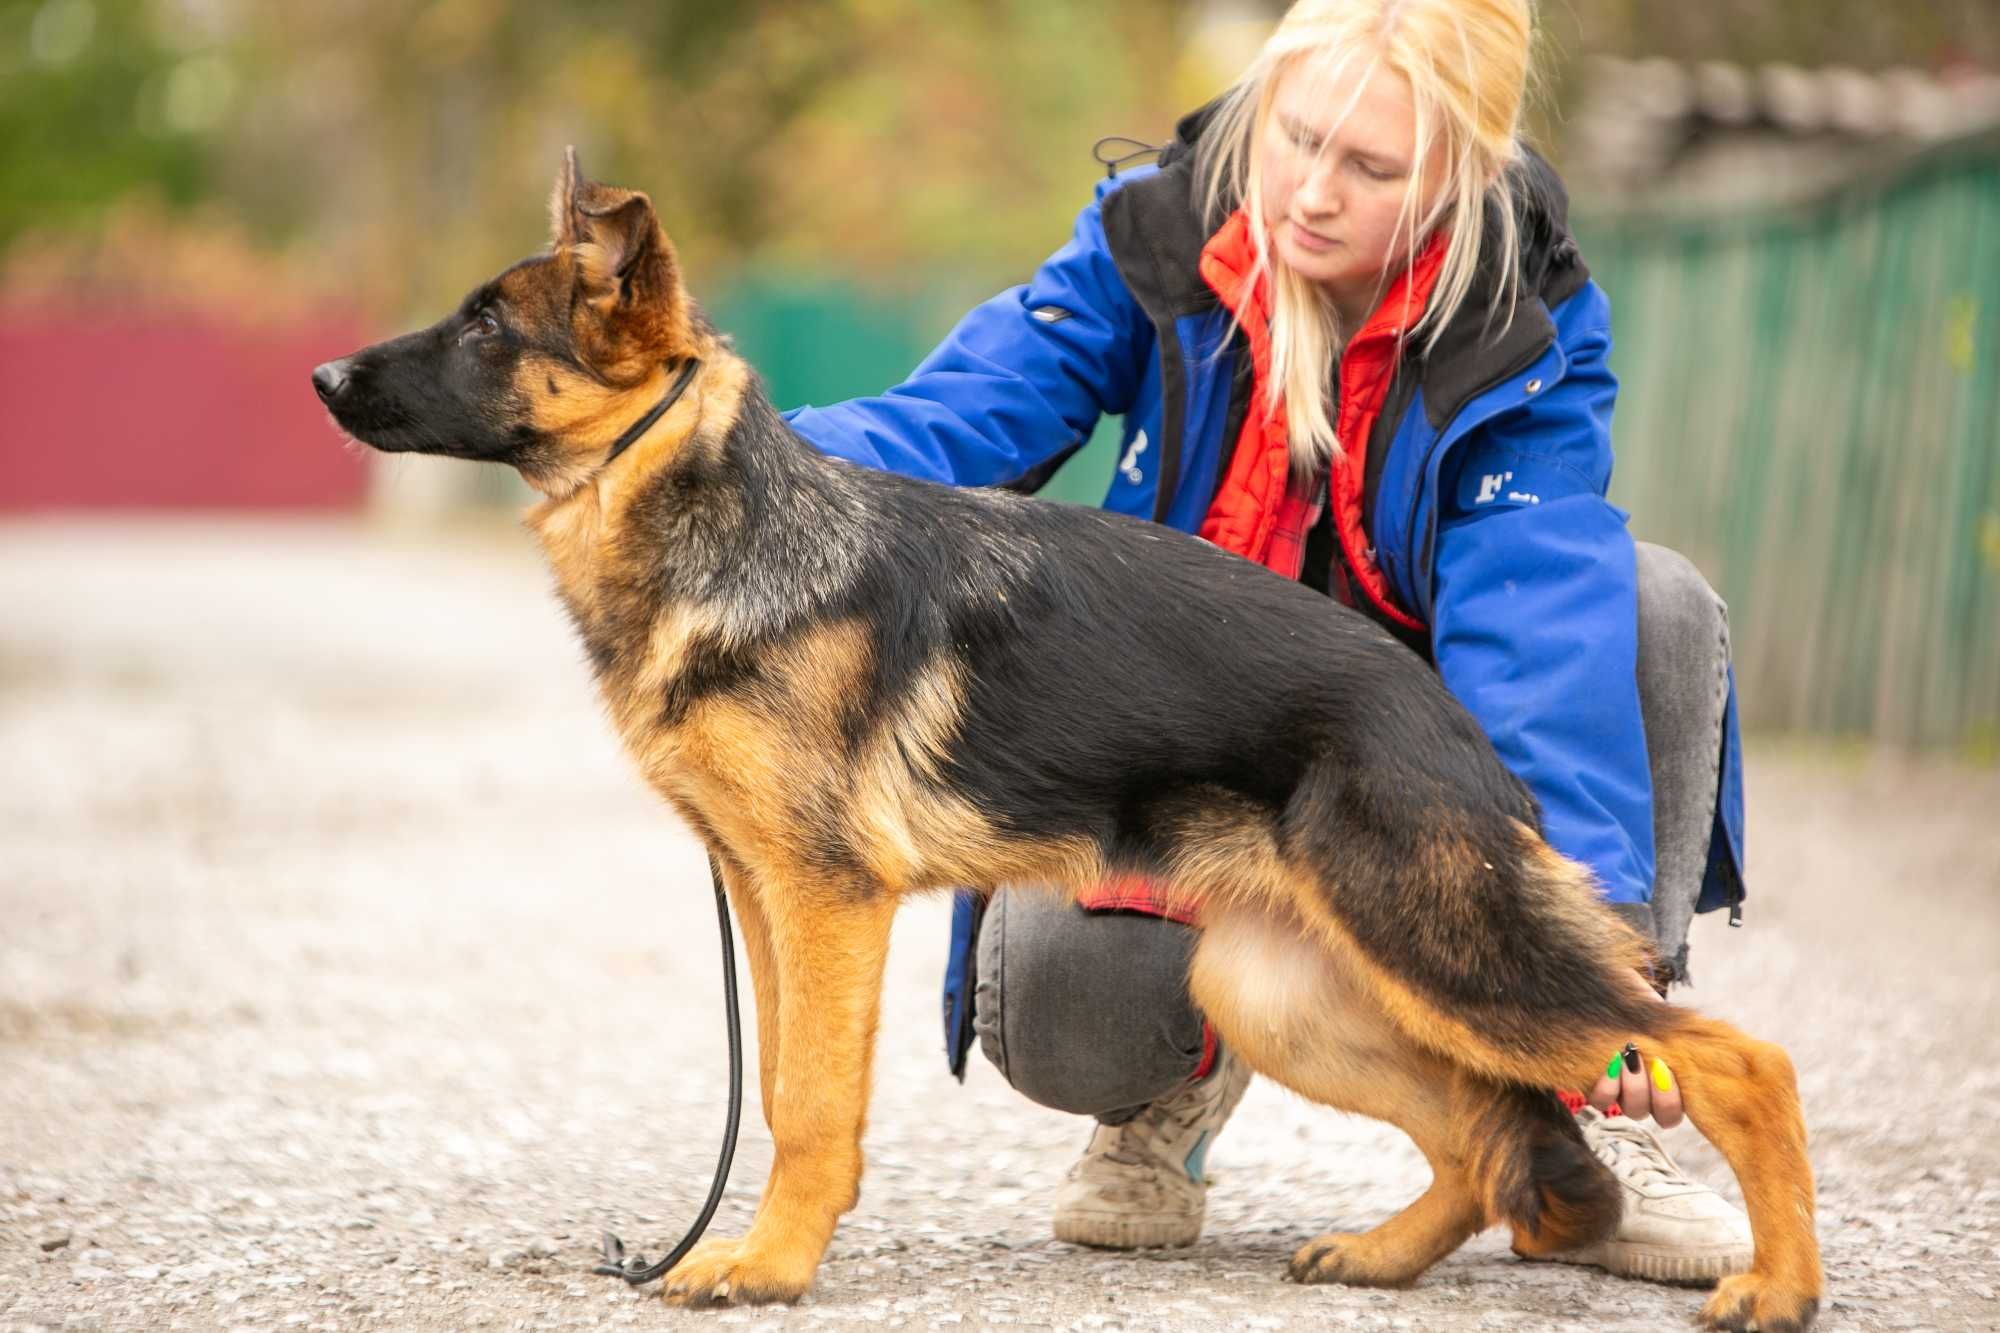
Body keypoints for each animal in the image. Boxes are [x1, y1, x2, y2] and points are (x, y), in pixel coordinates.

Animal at [308, 150, 1816, 1320]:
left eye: (487, 330)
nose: (323, 373)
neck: (718, 516)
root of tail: (1440, 711)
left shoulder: (827, 901)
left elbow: (807, 1102)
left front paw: (773, 1265)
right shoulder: (766, 897)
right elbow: (787, 1080)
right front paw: (756, 1248)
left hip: (1453, 953)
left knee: (1735, 1061)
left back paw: (1778, 1285)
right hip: (1287, 993)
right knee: (1474, 1127)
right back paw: (1383, 1255)